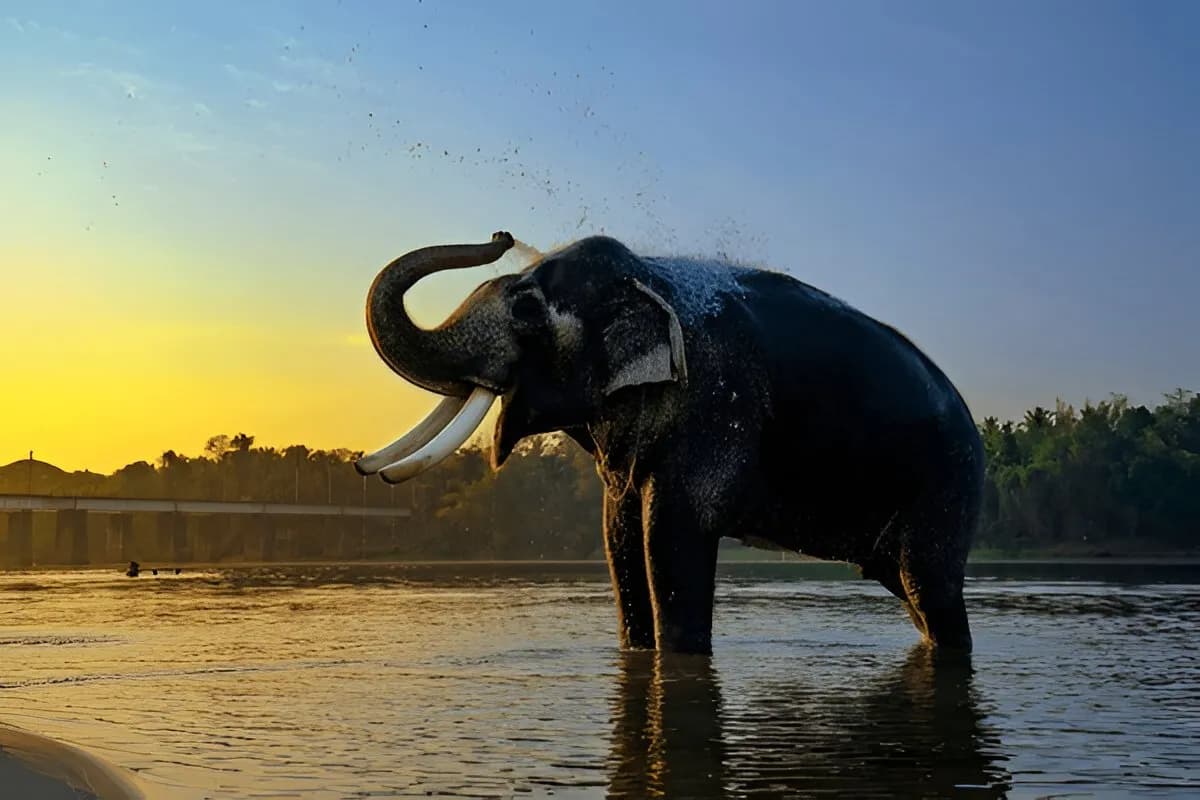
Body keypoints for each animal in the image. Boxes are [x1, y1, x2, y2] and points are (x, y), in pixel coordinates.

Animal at [356, 231, 985, 654]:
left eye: (527, 307)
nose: (501, 236)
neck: (650, 279)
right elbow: (618, 535)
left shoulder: (717, 403)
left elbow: (673, 532)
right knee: (911, 592)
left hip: (947, 483)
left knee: (929, 586)